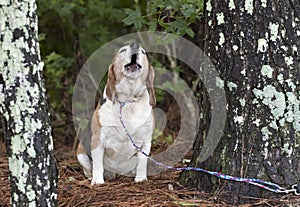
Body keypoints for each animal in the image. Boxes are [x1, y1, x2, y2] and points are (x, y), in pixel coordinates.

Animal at [76, 42, 156, 184]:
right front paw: (98, 180)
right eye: (122, 50)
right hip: (80, 153)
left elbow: (142, 162)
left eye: (143, 51)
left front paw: (141, 178)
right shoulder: (98, 139)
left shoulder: (146, 141)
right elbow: (97, 164)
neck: (128, 101)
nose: (135, 44)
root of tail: (117, 173)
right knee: (89, 168)